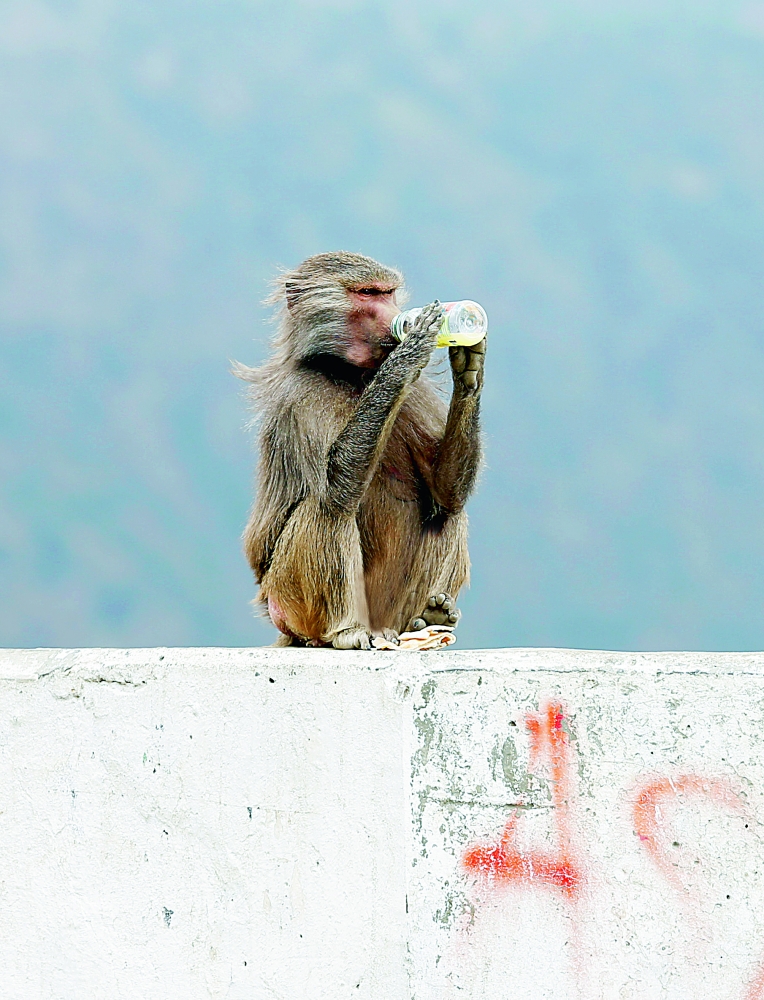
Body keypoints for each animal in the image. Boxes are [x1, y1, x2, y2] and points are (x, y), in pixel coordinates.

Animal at [236, 252, 486, 648]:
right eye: (367, 293)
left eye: (389, 293)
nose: (396, 316)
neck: (351, 376)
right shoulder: (301, 395)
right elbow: (335, 484)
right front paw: (410, 350)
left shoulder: (415, 398)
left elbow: (444, 490)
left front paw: (468, 364)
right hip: (289, 602)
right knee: (330, 507)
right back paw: (345, 632)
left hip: (388, 610)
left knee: (449, 513)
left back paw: (429, 617)